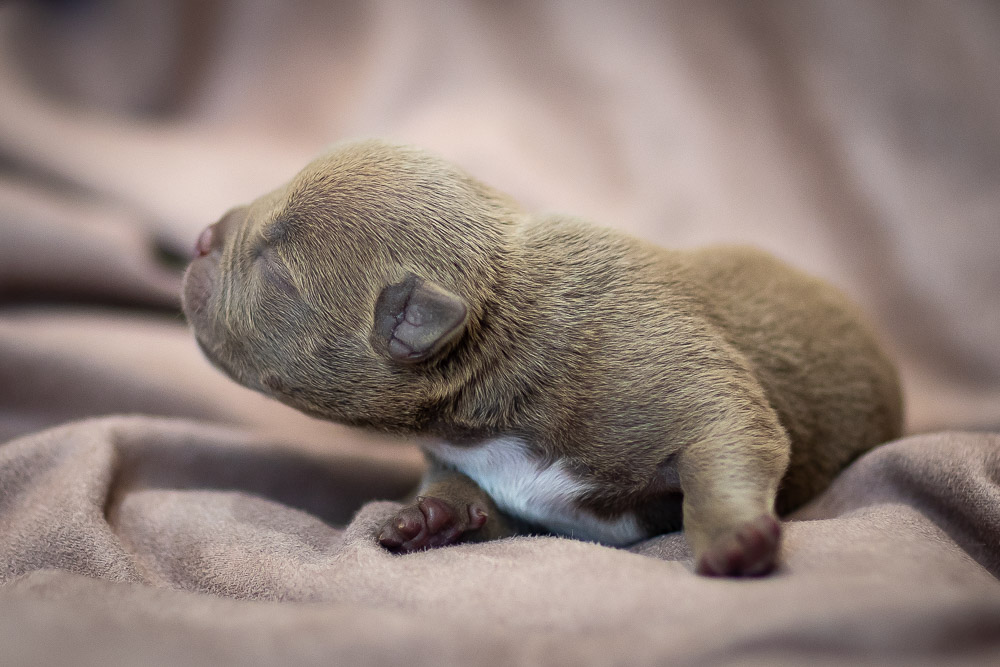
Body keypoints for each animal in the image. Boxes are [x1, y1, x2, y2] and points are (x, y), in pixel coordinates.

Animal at [182, 140, 903, 576]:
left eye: (276, 270)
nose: (201, 236)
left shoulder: (675, 375)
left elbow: (728, 443)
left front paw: (734, 536)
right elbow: (476, 502)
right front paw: (429, 515)